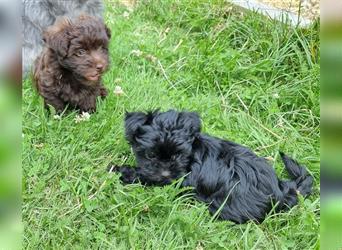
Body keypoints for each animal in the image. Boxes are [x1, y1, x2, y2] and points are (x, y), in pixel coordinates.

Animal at [111, 110, 312, 224]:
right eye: (151, 155)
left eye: (178, 155)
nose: (166, 173)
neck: (192, 156)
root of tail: (282, 190)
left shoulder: (179, 182)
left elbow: (145, 177)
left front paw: (120, 171)